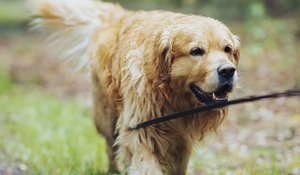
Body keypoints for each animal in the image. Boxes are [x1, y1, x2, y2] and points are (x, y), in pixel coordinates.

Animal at [30, 0, 240, 173]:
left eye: (227, 49)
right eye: (196, 51)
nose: (228, 71)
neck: (171, 96)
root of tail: (118, 16)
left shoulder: (181, 140)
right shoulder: (141, 129)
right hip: (106, 116)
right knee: (110, 147)